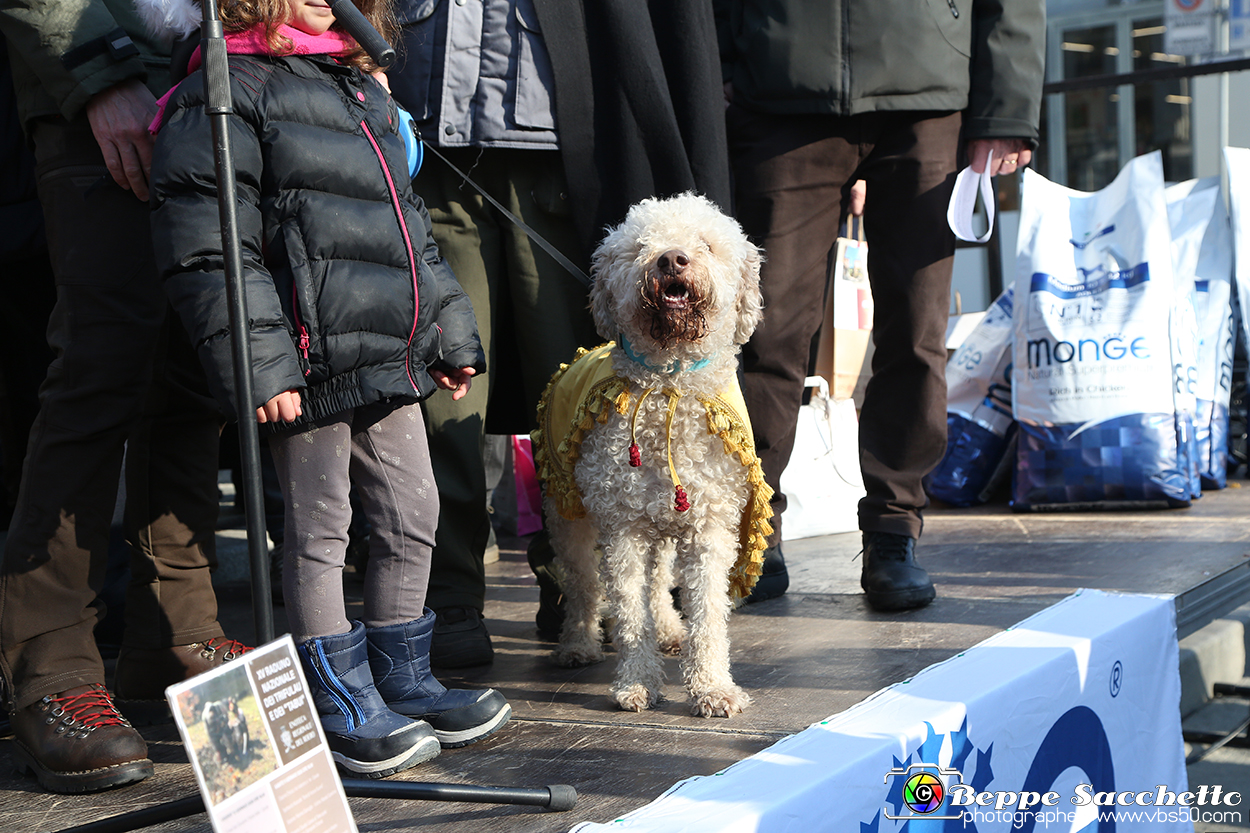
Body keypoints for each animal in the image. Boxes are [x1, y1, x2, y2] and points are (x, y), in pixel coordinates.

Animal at [535, 192, 770, 715]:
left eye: (706, 244)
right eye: (640, 246)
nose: (672, 259)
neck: (668, 386)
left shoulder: (709, 527)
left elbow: (707, 610)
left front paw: (712, 689)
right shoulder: (622, 528)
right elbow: (627, 610)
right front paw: (637, 684)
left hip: (660, 523)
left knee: (659, 582)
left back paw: (668, 630)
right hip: (567, 510)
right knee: (581, 584)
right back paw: (577, 643)